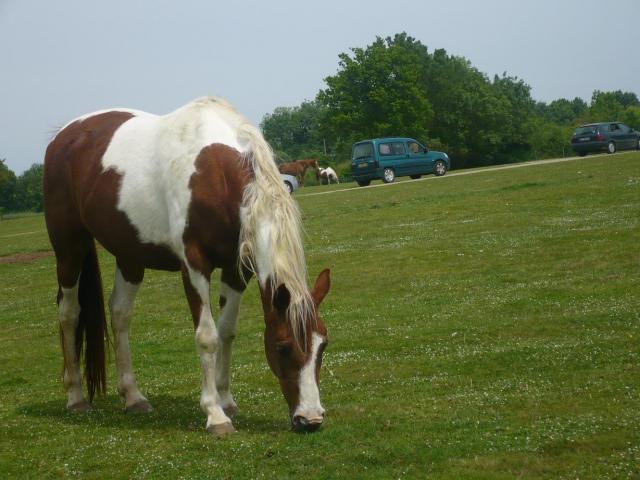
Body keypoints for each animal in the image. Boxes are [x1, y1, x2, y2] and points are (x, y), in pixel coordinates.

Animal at [42, 96, 330, 436]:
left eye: (322, 346)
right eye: (283, 347)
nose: (310, 419)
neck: (214, 172)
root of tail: (63, 137)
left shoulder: (237, 270)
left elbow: (227, 332)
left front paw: (226, 400)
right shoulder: (194, 265)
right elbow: (207, 337)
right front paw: (215, 414)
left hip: (130, 257)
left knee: (120, 315)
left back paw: (133, 397)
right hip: (69, 249)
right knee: (69, 313)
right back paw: (75, 397)